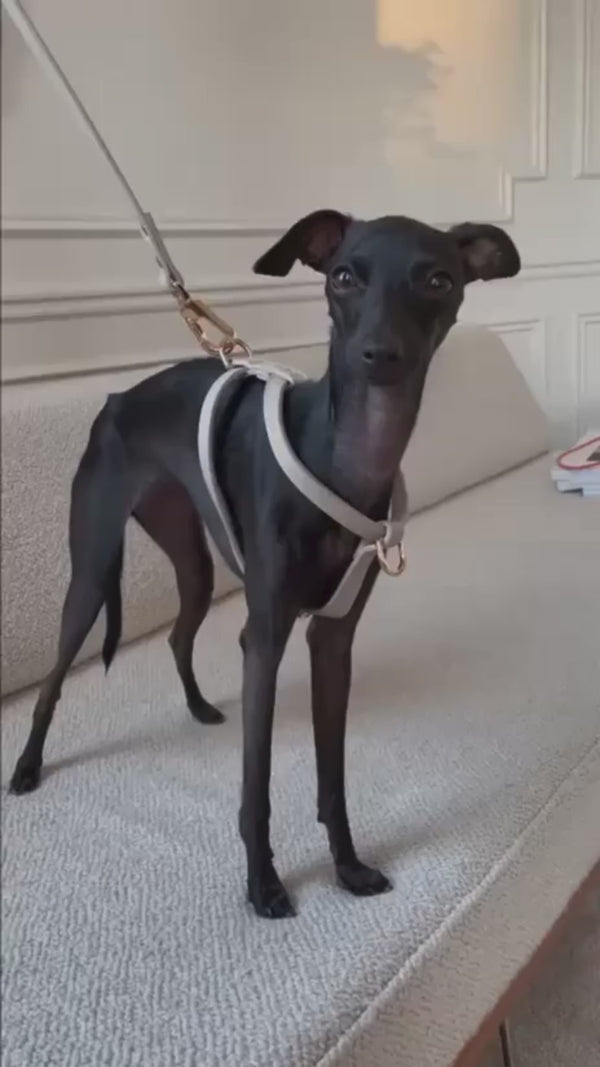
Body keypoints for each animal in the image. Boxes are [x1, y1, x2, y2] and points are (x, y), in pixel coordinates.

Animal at [9, 210, 516, 917]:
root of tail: (115, 398)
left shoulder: (332, 640)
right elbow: (258, 783)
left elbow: (333, 776)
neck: (345, 458)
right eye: (343, 276)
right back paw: (28, 767)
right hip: (90, 569)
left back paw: (198, 708)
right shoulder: (266, 638)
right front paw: (264, 884)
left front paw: (348, 866)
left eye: (438, 280)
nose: (379, 355)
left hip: (192, 561)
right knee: (53, 681)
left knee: (178, 634)